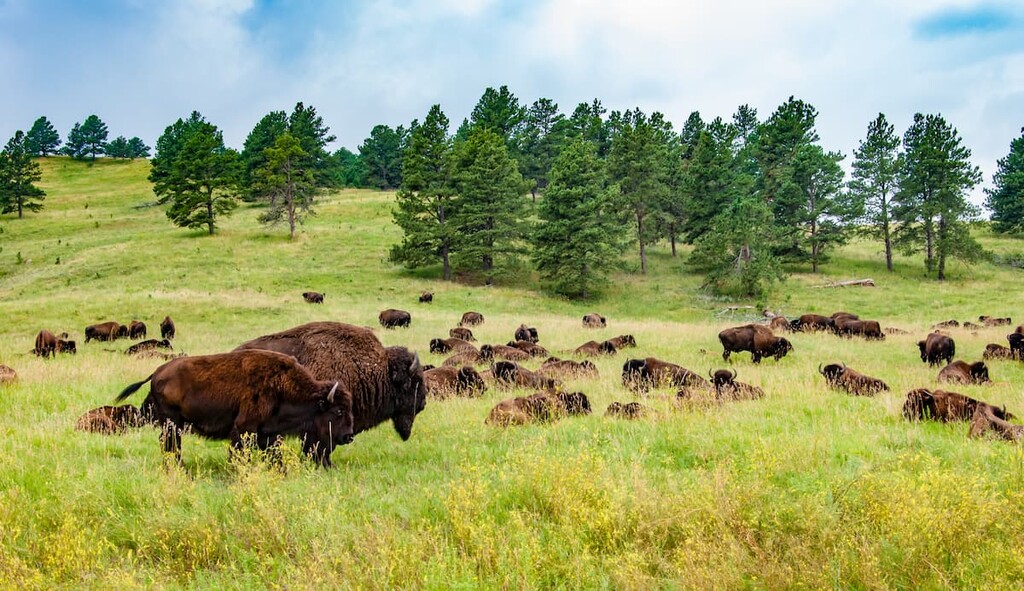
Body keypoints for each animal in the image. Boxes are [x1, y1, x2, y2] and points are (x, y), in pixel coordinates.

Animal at [115, 350, 354, 467]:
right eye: (338, 411)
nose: (349, 436)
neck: (282, 384)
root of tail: (157, 373)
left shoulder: (268, 433)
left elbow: (275, 457)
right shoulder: (243, 429)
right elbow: (239, 453)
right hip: (172, 423)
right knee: (171, 446)